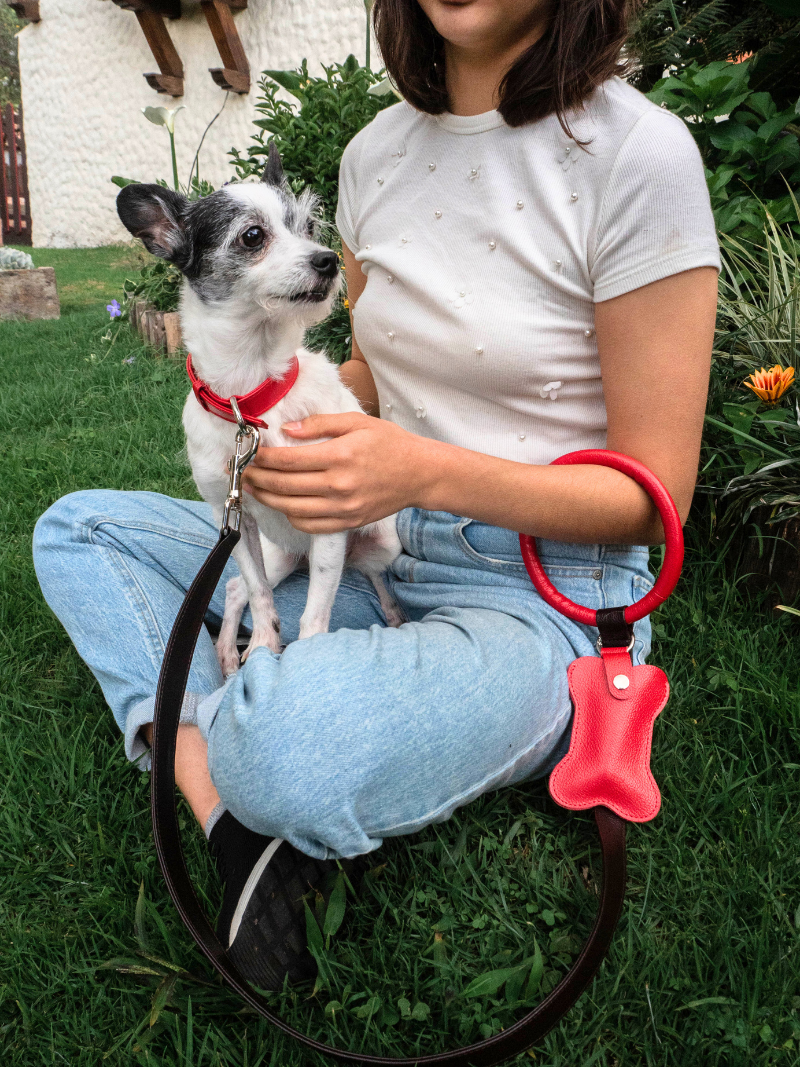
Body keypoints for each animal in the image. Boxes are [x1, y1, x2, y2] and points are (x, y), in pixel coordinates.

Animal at [117, 146, 402, 676]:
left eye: (309, 228)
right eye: (252, 236)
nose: (329, 260)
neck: (250, 404)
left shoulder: (329, 523)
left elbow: (314, 617)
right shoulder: (233, 520)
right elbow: (257, 593)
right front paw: (265, 646)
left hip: (376, 544)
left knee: (371, 574)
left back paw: (393, 611)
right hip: (277, 553)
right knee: (234, 588)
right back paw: (231, 653)